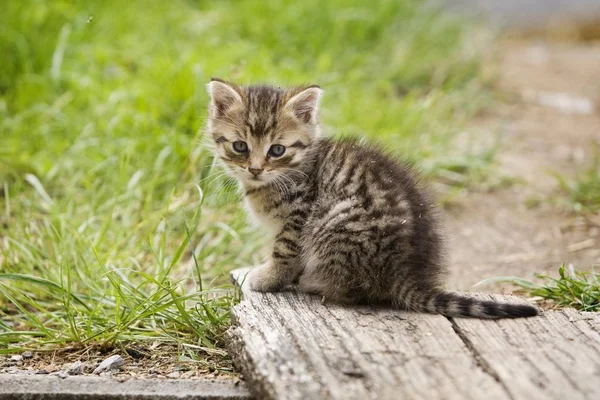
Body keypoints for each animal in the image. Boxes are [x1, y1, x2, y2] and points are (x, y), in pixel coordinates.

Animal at [207, 79, 540, 318]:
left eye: (277, 150)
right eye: (240, 146)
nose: (255, 169)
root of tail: (406, 273)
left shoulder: (299, 212)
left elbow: (284, 251)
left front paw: (269, 278)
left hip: (334, 220)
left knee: (356, 291)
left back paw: (315, 283)